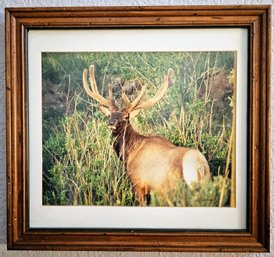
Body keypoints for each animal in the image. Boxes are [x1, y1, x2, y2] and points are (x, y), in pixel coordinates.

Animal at [82, 65, 211, 205]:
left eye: (126, 117)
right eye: (109, 114)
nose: (112, 122)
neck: (129, 154)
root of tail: (199, 167)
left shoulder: (138, 182)